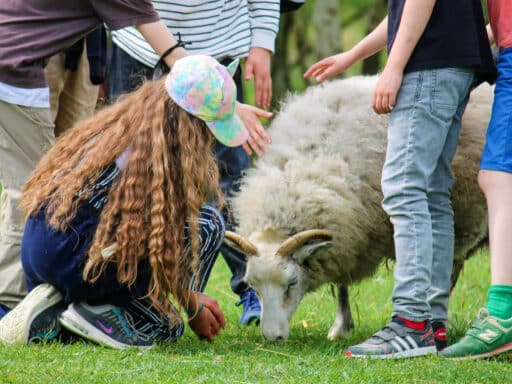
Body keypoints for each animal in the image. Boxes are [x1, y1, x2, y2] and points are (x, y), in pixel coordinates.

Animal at [224, 76, 492, 342]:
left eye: (291, 283)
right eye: (252, 286)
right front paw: (341, 327)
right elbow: (342, 285)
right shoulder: (350, 234)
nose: (272, 338)